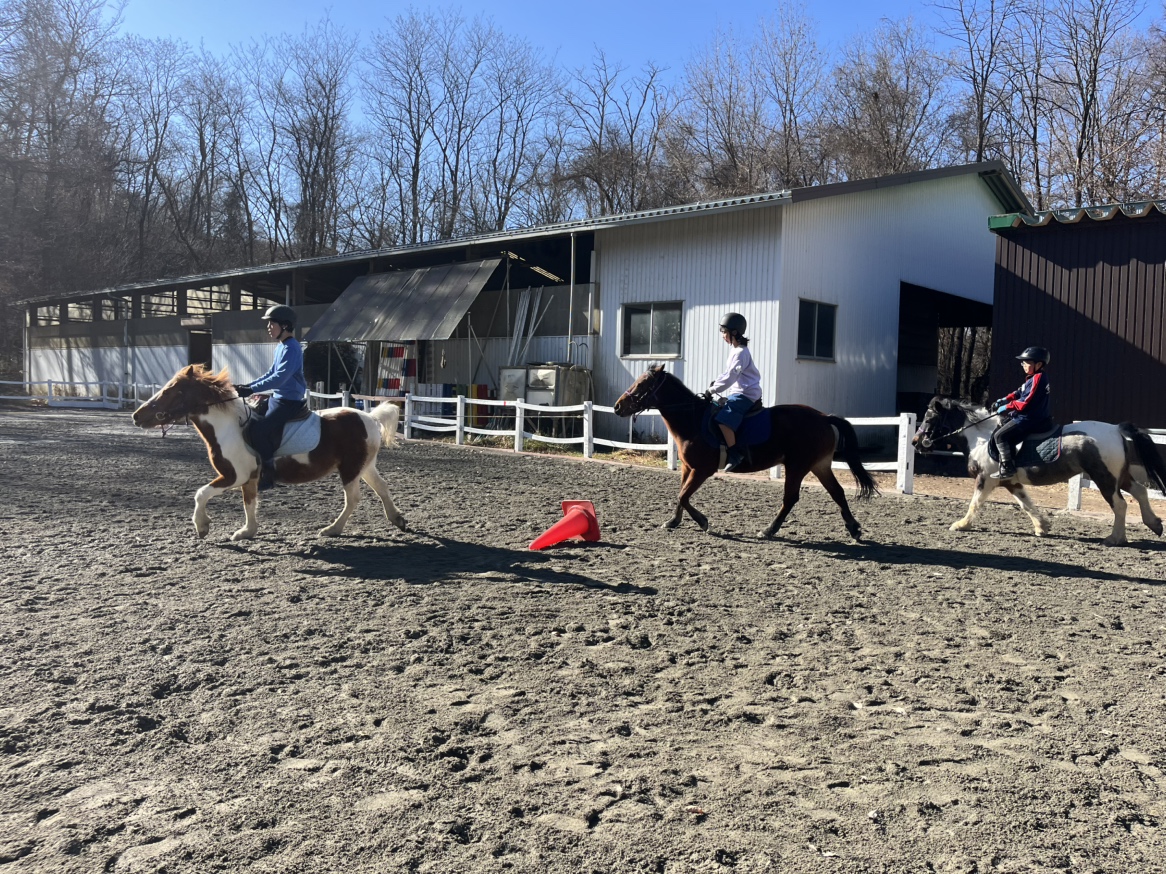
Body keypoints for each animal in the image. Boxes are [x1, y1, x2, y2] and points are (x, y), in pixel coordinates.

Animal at [132, 364, 406, 541]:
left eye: (171, 390)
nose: (137, 416)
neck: (228, 427)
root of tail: (369, 417)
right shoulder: (250, 478)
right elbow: (249, 503)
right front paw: (247, 531)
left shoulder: (235, 476)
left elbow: (201, 494)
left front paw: (202, 526)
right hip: (364, 466)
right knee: (381, 488)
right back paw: (397, 519)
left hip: (350, 469)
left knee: (353, 499)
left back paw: (333, 529)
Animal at [613, 365, 877, 540]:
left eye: (642, 384)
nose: (617, 406)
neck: (692, 420)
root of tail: (823, 417)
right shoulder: (688, 468)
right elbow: (681, 494)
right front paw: (673, 521)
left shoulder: (702, 470)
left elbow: (683, 495)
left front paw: (703, 522)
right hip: (819, 465)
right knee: (837, 492)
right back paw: (853, 528)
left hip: (797, 466)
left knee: (790, 498)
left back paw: (769, 530)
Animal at [912, 396, 1166, 545]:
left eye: (929, 418)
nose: (915, 442)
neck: (982, 438)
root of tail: (1116, 429)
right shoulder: (1010, 481)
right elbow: (1026, 504)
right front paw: (1042, 527)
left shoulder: (986, 479)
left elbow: (975, 503)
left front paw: (961, 525)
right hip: (1119, 476)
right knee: (1140, 492)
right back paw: (1154, 524)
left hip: (1104, 478)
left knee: (1120, 504)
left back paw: (1115, 538)